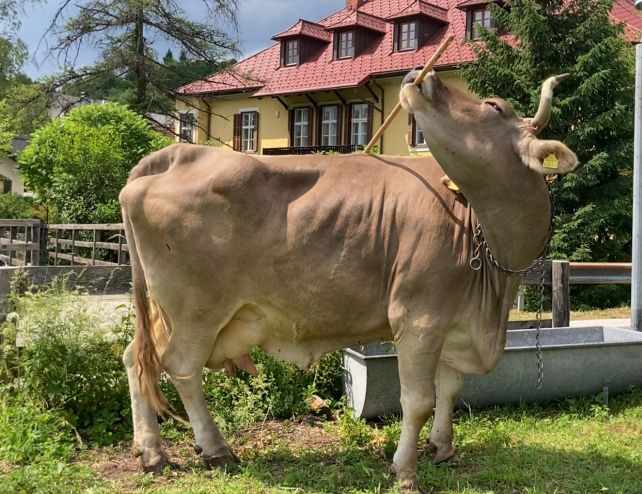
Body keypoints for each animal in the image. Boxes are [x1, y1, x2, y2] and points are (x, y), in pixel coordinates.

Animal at [120, 69, 577, 492]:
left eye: (493, 106)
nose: (421, 74)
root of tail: (178, 153)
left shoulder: (456, 321)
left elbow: (449, 388)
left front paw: (442, 448)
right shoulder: (418, 317)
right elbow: (418, 401)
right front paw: (405, 470)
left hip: (168, 312)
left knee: (136, 359)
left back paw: (151, 451)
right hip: (197, 310)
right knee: (182, 369)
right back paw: (215, 448)